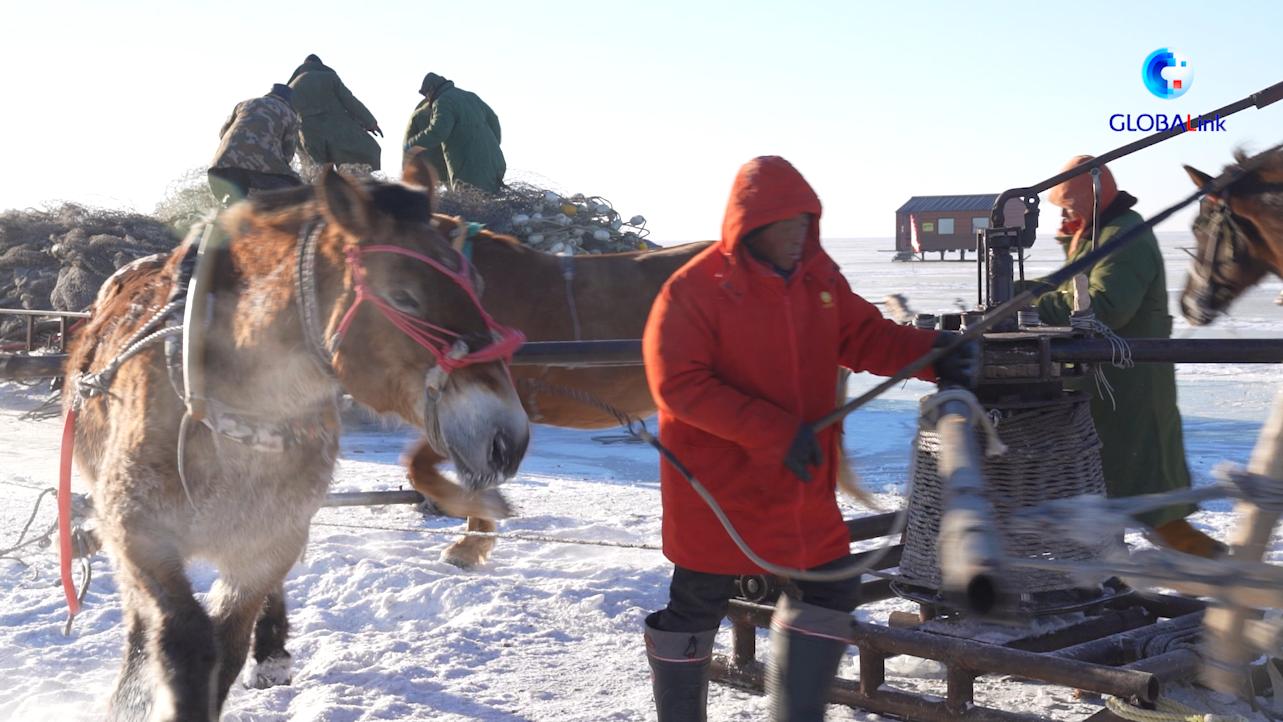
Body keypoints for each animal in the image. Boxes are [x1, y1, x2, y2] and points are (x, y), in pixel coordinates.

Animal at [63, 150, 526, 718]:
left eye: (477, 287)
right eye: (403, 296)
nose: (507, 438)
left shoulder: (268, 542)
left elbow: (227, 646)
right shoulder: (138, 533)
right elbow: (182, 639)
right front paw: (131, 696)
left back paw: (272, 653)